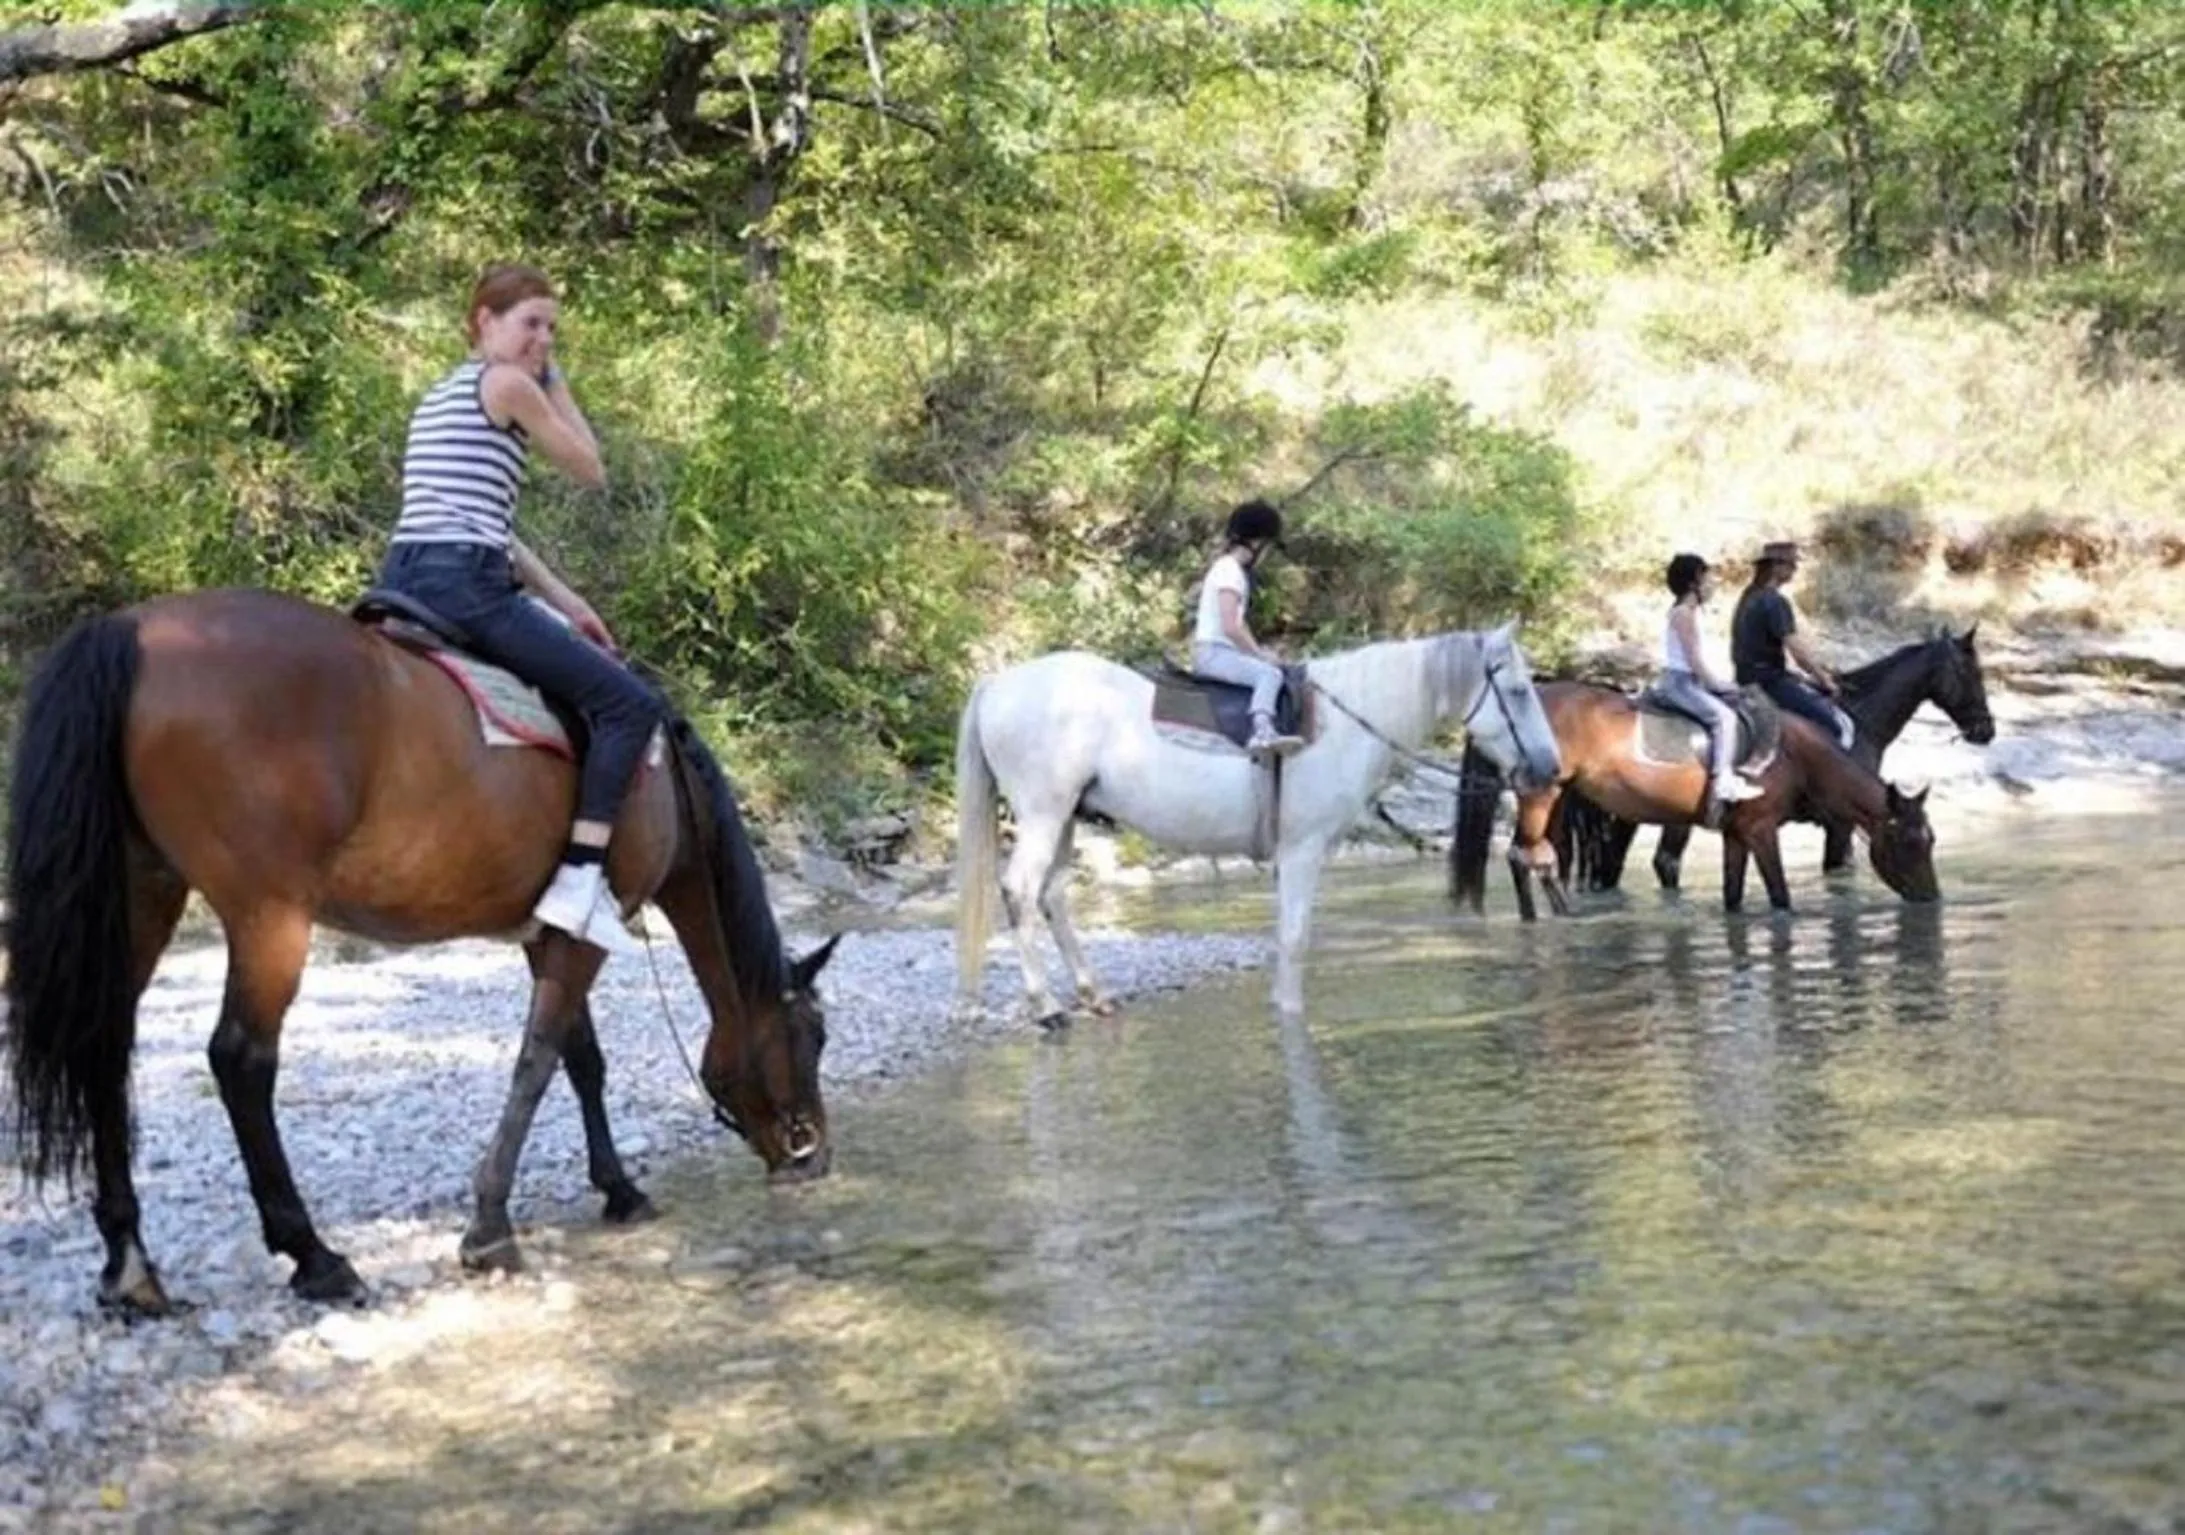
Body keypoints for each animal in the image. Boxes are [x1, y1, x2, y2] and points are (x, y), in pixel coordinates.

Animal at [4, 588, 837, 1318]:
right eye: (813, 1036)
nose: (813, 1153)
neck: (664, 783)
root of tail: (132, 631)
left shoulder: (548, 935)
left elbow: (580, 1058)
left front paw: (617, 1187)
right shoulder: (583, 934)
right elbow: (538, 1059)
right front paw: (491, 1225)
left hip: (142, 892)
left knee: (104, 1045)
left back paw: (130, 1264)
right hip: (269, 914)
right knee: (241, 1059)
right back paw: (315, 1255)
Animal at [953, 621, 1564, 1024]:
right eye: (1517, 691)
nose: (1549, 768)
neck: (1346, 724)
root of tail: (997, 685)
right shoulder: (1302, 850)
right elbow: (1294, 940)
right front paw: (1289, 1015)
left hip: (1066, 818)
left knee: (1052, 895)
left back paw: (1092, 994)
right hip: (1043, 812)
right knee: (1021, 889)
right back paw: (1046, 1006)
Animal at [1448, 683, 1940, 921]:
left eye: (1931, 840)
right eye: (1911, 842)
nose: (1933, 899)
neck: (1795, 756)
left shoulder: (1736, 835)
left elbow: (1733, 896)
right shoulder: (1761, 831)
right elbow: (1780, 897)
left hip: (1559, 796)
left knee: (1541, 857)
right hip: (1542, 793)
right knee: (1525, 856)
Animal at [1556, 627, 1993, 892]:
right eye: (1972, 673)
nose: (1986, 730)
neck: (1860, 719)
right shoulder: (1841, 823)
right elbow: (1838, 870)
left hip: (1628, 814)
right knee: (1665, 862)